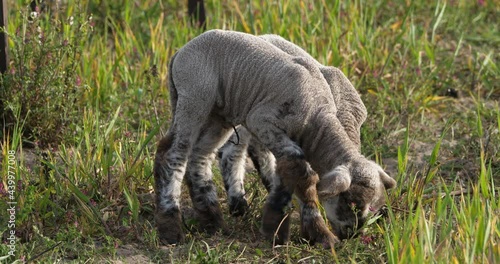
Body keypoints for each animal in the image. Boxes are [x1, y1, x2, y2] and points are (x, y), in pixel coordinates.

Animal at [154, 29, 396, 246]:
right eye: (350, 202)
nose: (352, 234)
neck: (317, 118)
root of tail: (181, 52)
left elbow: (293, 173)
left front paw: (283, 226)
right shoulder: (262, 121)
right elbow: (301, 173)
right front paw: (313, 233)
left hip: (220, 112)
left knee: (201, 156)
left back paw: (213, 220)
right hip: (196, 96)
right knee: (174, 153)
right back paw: (171, 227)